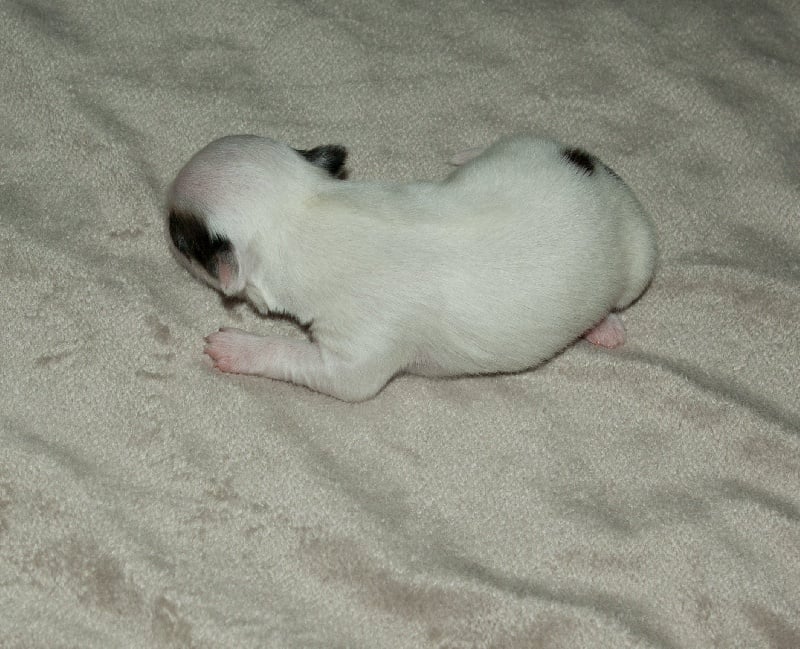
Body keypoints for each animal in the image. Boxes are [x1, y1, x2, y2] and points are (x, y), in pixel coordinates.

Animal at [166, 134, 657, 401]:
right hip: (524, 150)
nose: (163, 226)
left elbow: (304, 361)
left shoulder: (357, 353)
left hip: (641, 258)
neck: (309, 211)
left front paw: (235, 347)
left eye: (177, 236)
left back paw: (604, 325)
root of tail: (602, 172)